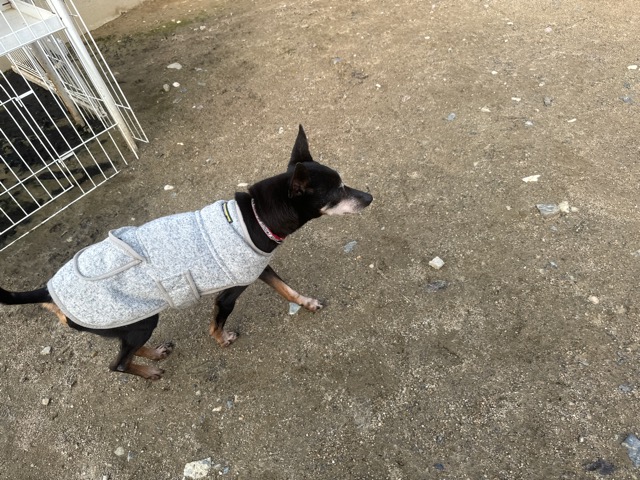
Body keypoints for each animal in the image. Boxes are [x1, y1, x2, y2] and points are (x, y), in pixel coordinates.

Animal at [0, 126, 373, 380]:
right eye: (338, 192)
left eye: (345, 185)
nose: (369, 197)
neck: (254, 217)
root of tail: (47, 291)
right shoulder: (229, 293)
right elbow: (217, 322)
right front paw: (222, 339)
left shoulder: (259, 268)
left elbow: (286, 289)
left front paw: (306, 303)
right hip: (140, 319)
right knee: (118, 363)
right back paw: (148, 371)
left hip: (133, 322)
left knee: (126, 349)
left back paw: (155, 354)